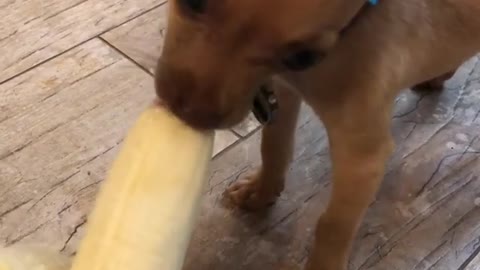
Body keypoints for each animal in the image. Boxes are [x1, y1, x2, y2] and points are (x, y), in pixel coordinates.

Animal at [156, 0, 480, 268]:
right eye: (193, 1)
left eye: (303, 56)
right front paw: (260, 192)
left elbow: (333, 225)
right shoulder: (284, 91)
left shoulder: (363, 158)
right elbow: (274, 148)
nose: (191, 115)